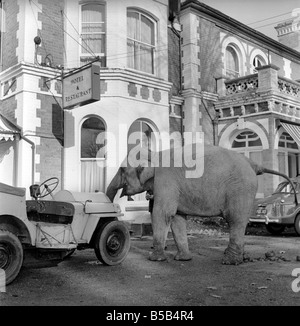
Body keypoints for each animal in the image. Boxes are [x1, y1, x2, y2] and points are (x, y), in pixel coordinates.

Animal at [106, 145, 298, 264]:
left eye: (122, 170)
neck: (156, 153)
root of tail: (253, 164)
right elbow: (177, 218)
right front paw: (182, 259)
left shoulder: (166, 181)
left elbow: (162, 213)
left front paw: (155, 259)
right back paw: (239, 258)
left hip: (240, 189)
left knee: (235, 220)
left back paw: (229, 261)